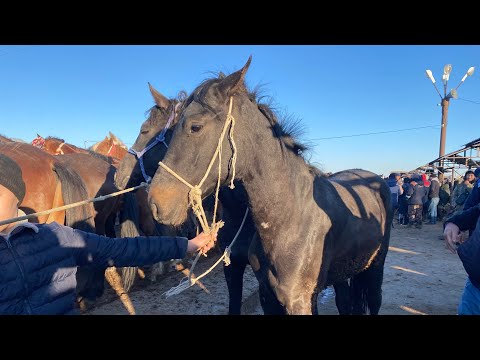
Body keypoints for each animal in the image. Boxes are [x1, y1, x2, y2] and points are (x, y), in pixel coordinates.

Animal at [149, 57, 394, 314]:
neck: (292, 219)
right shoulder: (267, 293)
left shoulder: (300, 301)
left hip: (375, 267)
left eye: (195, 127)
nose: (156, 202)